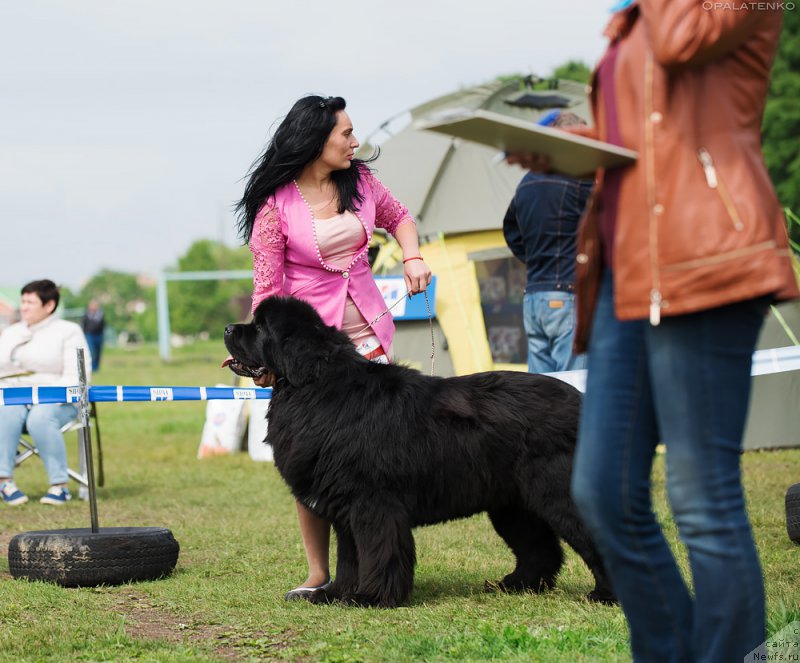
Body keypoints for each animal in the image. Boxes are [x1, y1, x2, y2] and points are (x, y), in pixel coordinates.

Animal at [225, 298, 612, 608]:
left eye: (261, 327)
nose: (229, 327)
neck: (316, 387)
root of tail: (579, 399)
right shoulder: (345, 510)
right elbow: (349, 558)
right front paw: (335, 595)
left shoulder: (372, 504)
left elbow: (377, 552)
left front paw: (370, 598)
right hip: (512, 503)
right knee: (539, 547)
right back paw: (515, 585)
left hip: (555, 491)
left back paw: (605, 595)